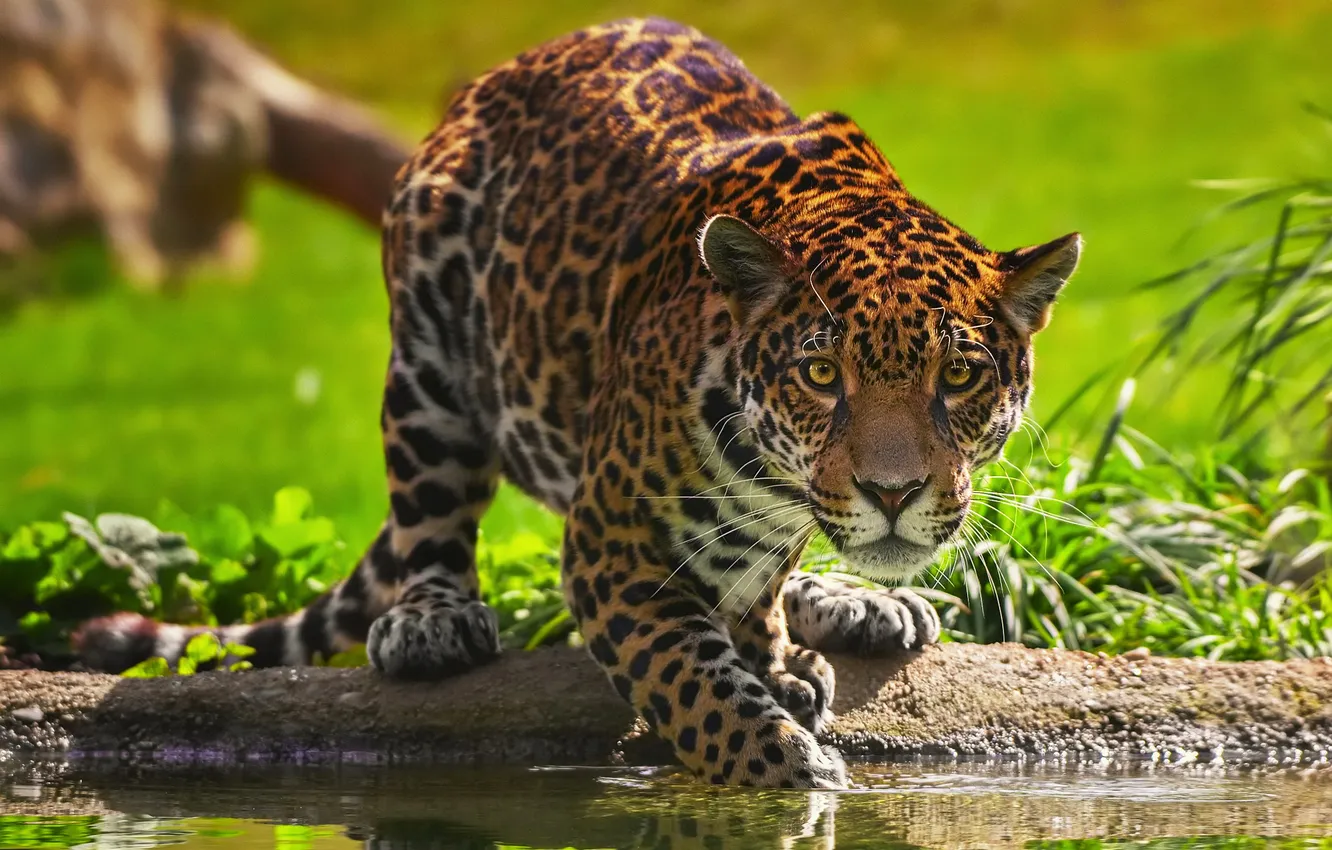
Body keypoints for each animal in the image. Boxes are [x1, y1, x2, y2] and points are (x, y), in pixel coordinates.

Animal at [75, 17, 1080, 788]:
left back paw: (851, 605)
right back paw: (433, 620)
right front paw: (792, 768)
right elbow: (696, 684)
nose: (893, 492)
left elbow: (752, 595)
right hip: (428, 352)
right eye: (822, 376)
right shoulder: (611, 542)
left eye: (958, 378)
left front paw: (783, 659)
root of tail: (507, 72)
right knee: (429, 507)